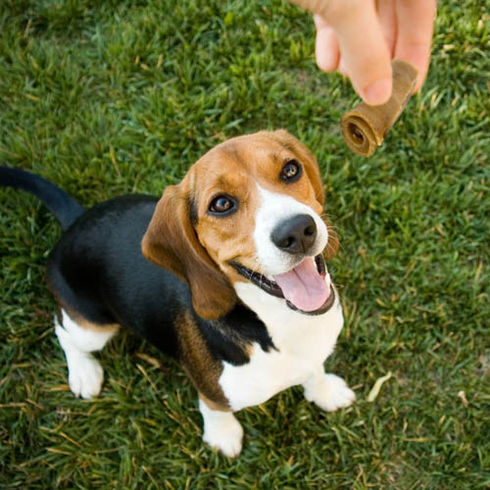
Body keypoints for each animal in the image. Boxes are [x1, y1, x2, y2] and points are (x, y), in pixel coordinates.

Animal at [0, 130, 355, 457]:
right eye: (221, 204)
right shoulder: (212, 391)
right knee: (62, 329)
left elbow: (315, 370)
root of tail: (77, 221)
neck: (280, 321)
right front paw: (223, 436)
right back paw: (83, 373)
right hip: (93, 328)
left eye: (291, 170)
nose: (297, 231)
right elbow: (215, 409)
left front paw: (325, 391)